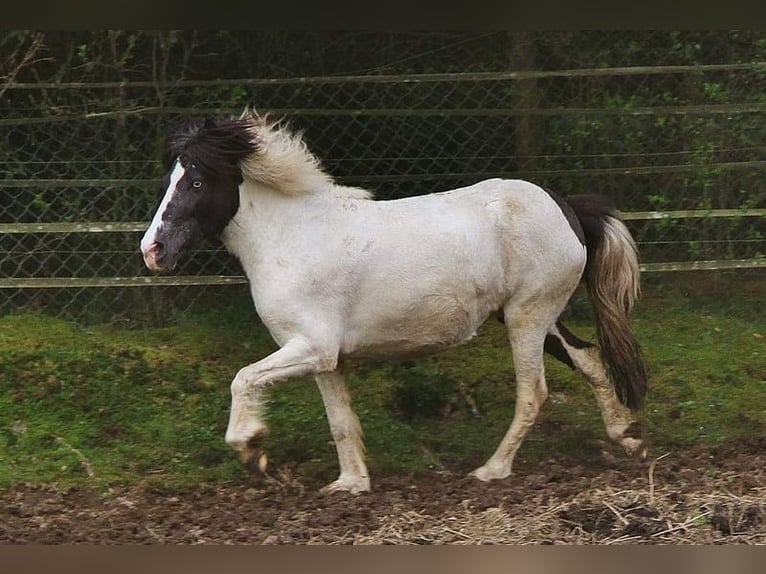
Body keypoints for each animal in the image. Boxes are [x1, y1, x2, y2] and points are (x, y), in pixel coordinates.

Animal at [140, 109, 648, 493]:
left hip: (528, 316)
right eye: (170, 179)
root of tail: (566, 208)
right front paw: (350, 484)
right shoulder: (324, 358)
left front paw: (253, 450)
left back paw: (491, 470)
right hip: (534, 317)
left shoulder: (310, 347)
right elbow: (340, 421)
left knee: (533, 392)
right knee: (591, 360)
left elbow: (243, 379)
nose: (152, 251)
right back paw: (626, 438)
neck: (290, 237)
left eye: (196, 183)